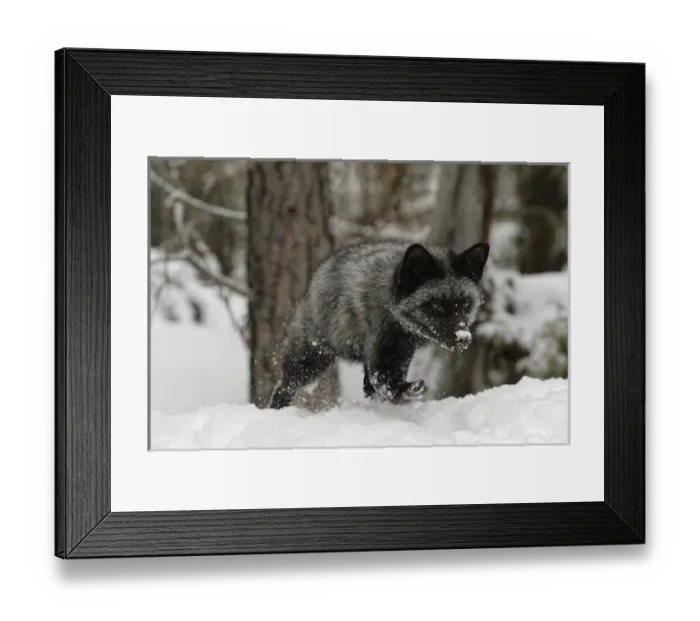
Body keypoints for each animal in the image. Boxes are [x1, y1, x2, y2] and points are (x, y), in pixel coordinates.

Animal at [267, 239, 490, 409]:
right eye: (435, 304)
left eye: (464, 302)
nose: (463, 338)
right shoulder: (386, 348)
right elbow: (385, 382)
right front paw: (404, 392)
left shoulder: (399, 351)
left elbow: (378, 384)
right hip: (310, 358)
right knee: (284, 385)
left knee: (367, 387)